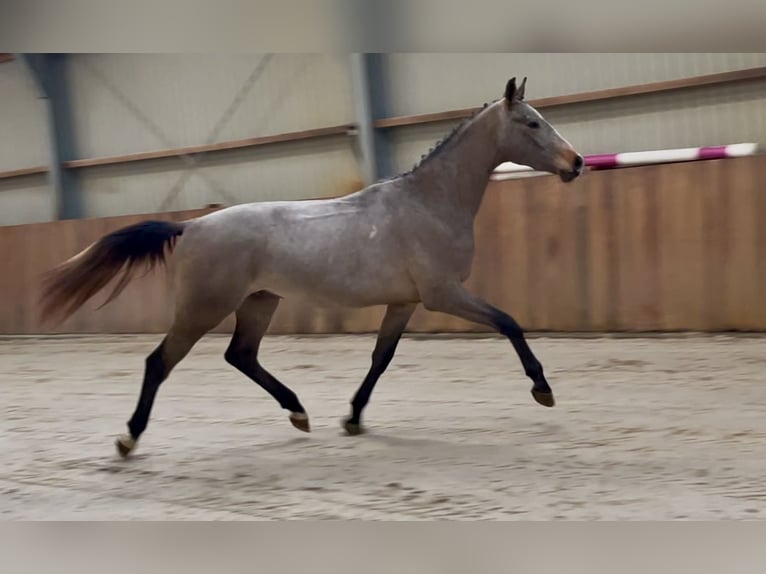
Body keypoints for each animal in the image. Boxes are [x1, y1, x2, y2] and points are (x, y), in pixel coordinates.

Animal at [40, 79, 584, 462]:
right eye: (532, 124)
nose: (576, 163)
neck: (428, 203)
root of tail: (190, 226)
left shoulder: (405, 302)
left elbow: (380, 359)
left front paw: (353, 418)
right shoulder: (442, 294)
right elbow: (509, 322)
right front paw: (543, 390)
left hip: (259, 302)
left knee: (241, 356)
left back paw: (299, 413)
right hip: (202, 309)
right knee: (160, 362)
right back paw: (129, 439)